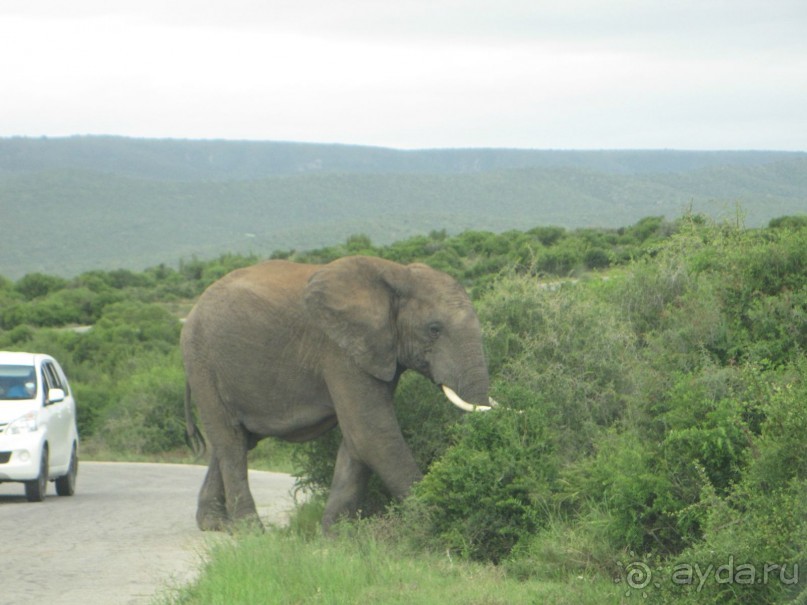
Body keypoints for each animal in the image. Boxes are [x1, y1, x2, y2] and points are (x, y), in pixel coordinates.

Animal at [182, 252, 496, 532]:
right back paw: (250, 531)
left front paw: (335, 535)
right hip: (203, 364)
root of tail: (191, 314)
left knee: (238, 440)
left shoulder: (376, 351)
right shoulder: (339, 350)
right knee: (231, 442)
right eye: (434, 329)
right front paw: (431, 522)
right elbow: (372, 434)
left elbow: (356, 441)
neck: (398, 274)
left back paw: (214, 524)